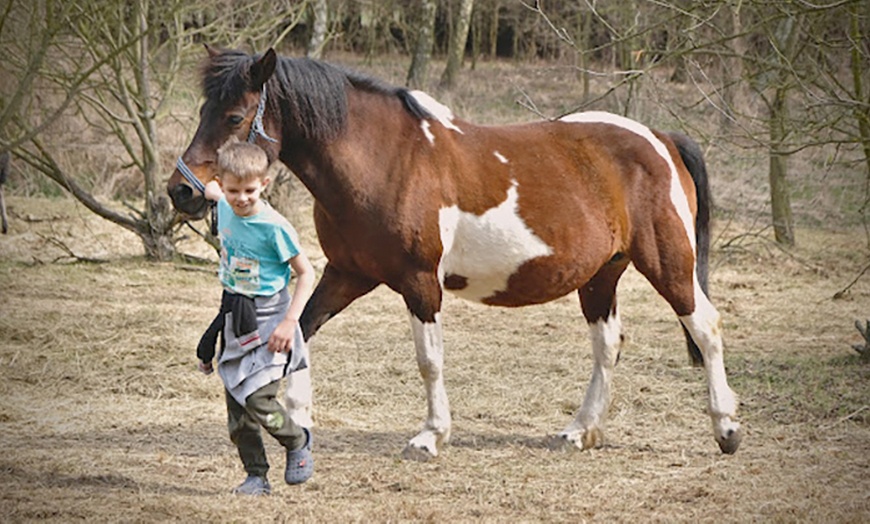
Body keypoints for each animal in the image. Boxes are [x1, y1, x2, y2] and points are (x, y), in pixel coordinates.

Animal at [169, 47, 744, 460]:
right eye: (203, 111)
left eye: (235, 116)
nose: (182, 192)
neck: (386, 160)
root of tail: (660, 138)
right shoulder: (347, 274)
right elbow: (300, 335)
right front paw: (298, 418)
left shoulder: (420, 283)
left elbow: (429, 361)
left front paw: (431, 436)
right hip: (601, 276)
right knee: (608, 346)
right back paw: (580, 431)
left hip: (670, 265)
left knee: (706, 328)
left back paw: (727, 429)